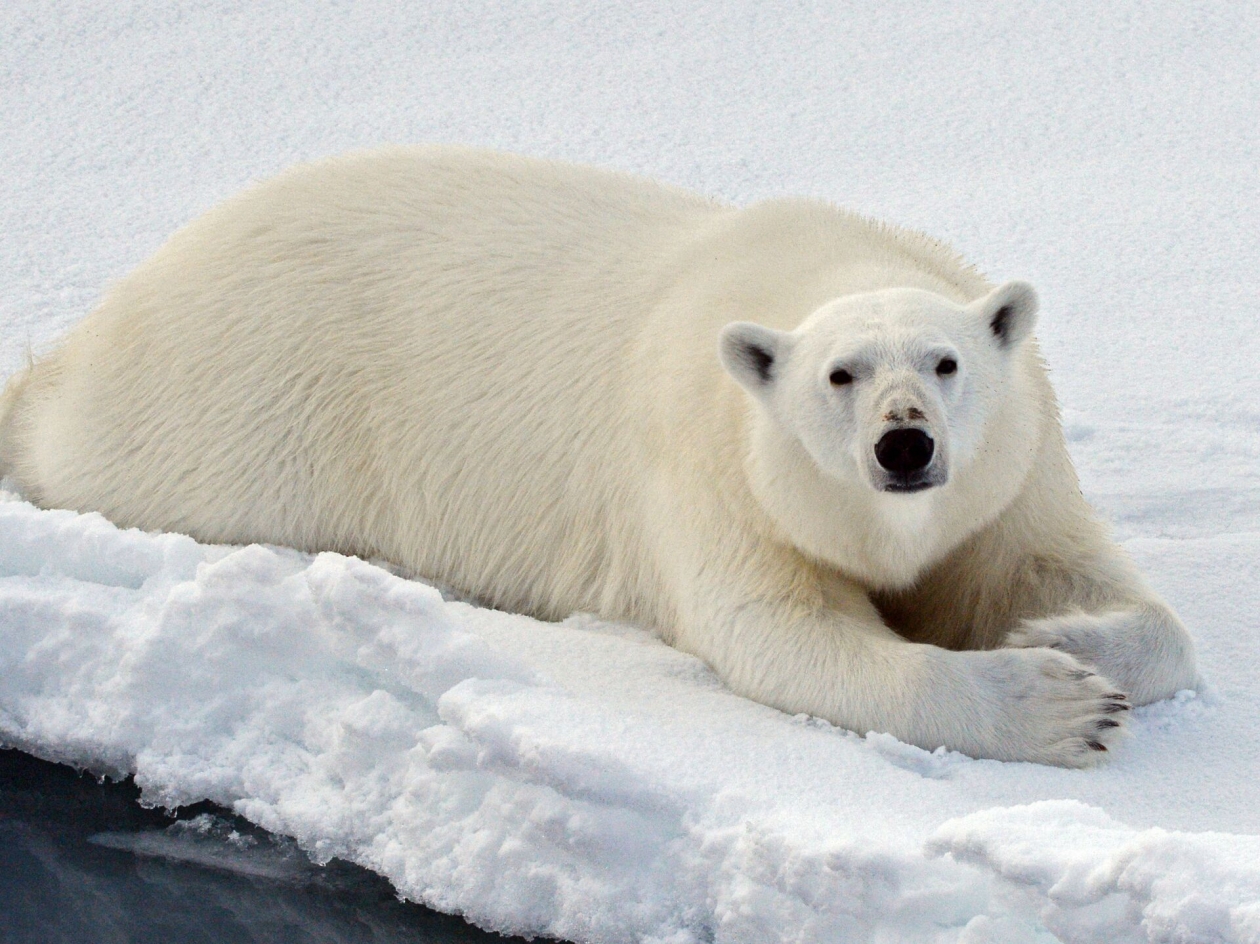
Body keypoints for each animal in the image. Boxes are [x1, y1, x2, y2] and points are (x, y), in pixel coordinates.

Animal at [0, 147, 1194, 766]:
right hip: (248, 413)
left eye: (946, 362)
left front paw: (1062, 632)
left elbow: (1081, 581)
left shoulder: (1013, 472)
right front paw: (1059, 704)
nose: (904, 446)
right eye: (839, 375)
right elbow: (781, 635)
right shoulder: (709, 471)